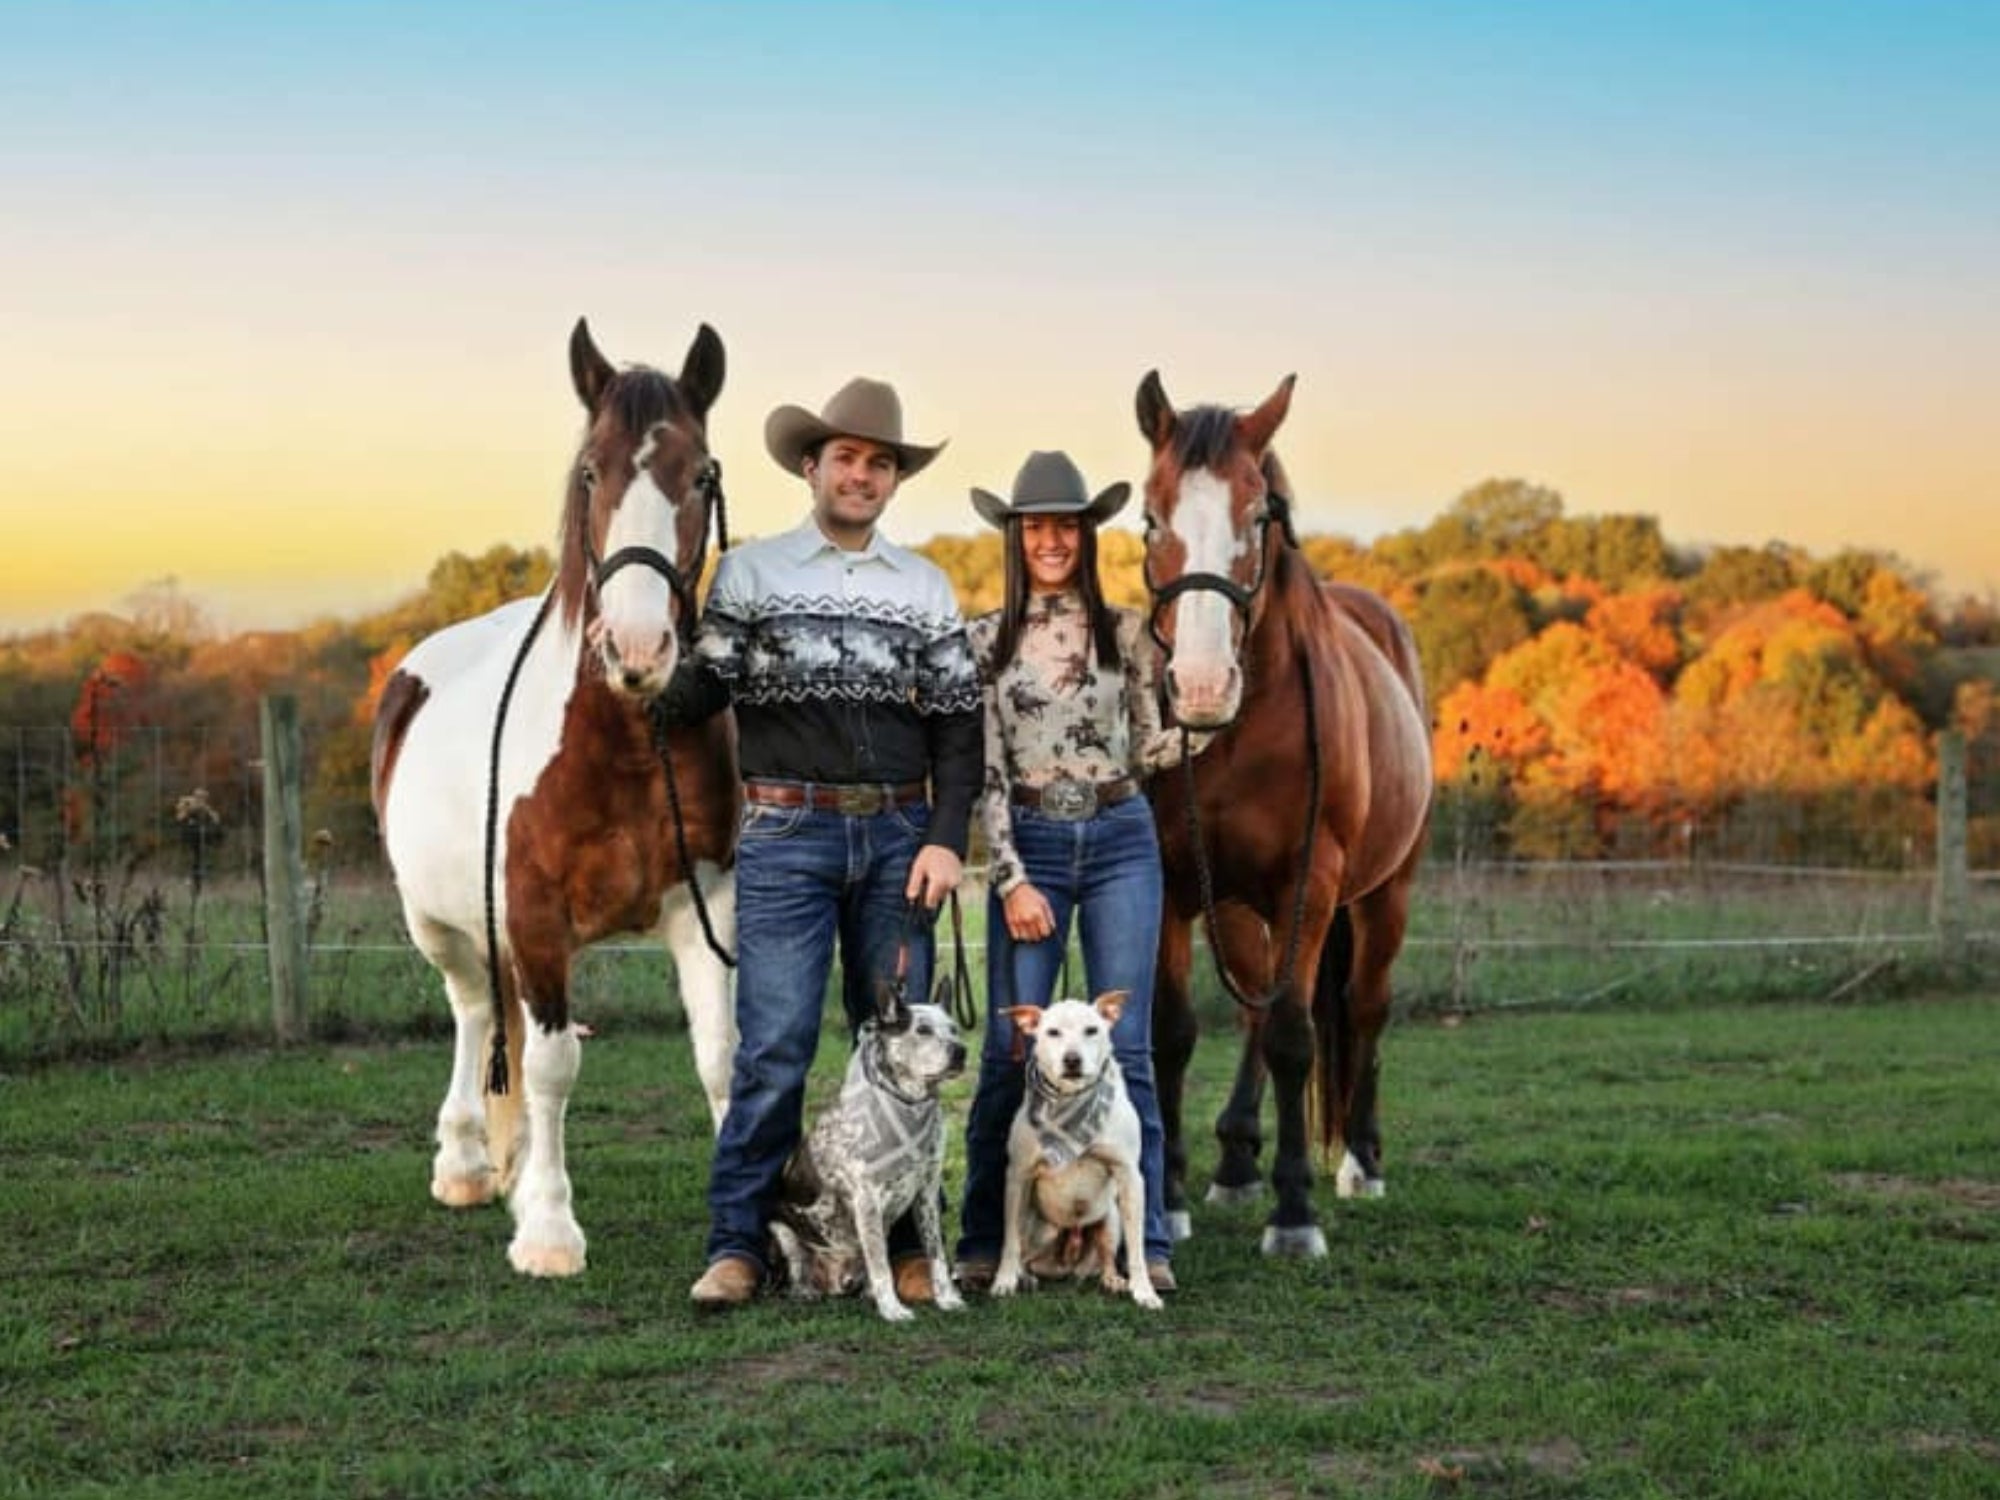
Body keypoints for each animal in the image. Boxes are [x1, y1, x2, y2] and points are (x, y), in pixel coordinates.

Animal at [372, 320, 740, 1280]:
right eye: (590, 473)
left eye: (701, 474)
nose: (638, 648)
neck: (625, 743)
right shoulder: (536, 922)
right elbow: (549, 1068)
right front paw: (546, 1229)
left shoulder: (707, 909)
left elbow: (721, 1057)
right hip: (437, 924)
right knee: (474, 1014)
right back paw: (467, 1163)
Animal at [768, 980, 972, 1320]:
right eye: (923, 1030)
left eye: (954, 1029)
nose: (961, 1051)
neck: (910, 1107)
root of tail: (834, 1280)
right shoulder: (867, 1201)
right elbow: (881, 1267)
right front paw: (892, 1310)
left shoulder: (927, 1194)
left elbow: (937, 1257)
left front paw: (947, 1299)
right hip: (781, 1231)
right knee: (796, 1272)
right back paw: (806, 1292)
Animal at [988, 992, 1160, 1312]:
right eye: (1052, 1032)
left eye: (1091, 1030)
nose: (1071, 1059)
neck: (1071, 1100)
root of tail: (1065, 1265)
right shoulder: (1018, 1176)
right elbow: (1009, 1242)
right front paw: (1003, 1281)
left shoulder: (1130, 1176)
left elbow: (1136, 1246)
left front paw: (1144, 1291)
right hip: (1037, 1226)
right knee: (1025, 1253)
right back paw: (1024, 1277)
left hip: (1110, 1219)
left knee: (1106, 1257)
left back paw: (1113, 1280)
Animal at [1136, 374, 1432, 1256]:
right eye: (1151, 518)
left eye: (1259, 515)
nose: (1200, 687)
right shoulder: (1176, 883)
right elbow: (1175, 1031)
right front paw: (1171, 1197)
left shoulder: (1314, 882)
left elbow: (1300, 1036)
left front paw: (1295, 1212)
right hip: (1239, 906)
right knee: (1252, 1012)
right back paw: (1236, 1163)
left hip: (1383, 896)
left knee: (1362, 1009)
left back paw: (1361, 1160)